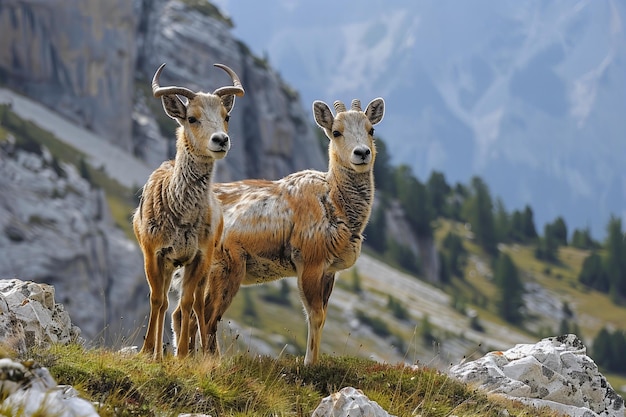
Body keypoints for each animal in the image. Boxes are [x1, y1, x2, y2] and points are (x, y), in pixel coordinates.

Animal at [134, 62, 244, 360]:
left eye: (227, 116)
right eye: (192, 118)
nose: (221, 140)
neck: (181, 218)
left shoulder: (199, 254)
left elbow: (185, 302)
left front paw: (182, 353)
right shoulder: (153, 250)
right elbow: (156, 299)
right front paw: (148, 351)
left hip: (207, 261)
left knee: (196, 305)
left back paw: (204, 352)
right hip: (169, 263)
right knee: (164, 302)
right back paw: (160, 351)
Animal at [173, 96, 382, 362]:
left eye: (371, 129)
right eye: (336, 132)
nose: (362, 153)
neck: (334, 203)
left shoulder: (329, 270)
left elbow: (323, 316)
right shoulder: (309, 260)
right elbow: (315, 315)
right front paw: (309, 363)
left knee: (183, 313)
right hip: (226, 266)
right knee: (207, 316)